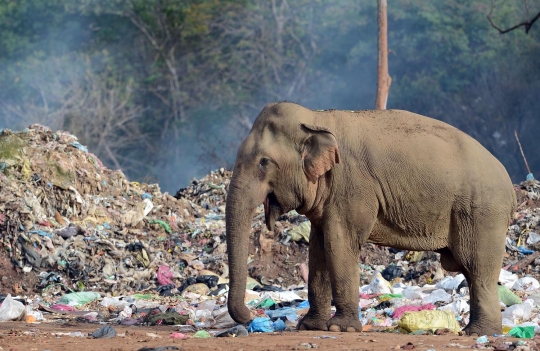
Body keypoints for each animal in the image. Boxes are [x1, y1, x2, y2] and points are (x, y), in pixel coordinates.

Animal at [224, 102, 516, 336]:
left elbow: (339, 244)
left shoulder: (351, 186)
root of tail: (508, 182)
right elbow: (318, 248)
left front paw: (339, 328)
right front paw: (310, 327)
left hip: (481, 212)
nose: (251, 316)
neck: (317, 118)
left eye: (263, 162)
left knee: (477, 268)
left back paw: (478, 333)